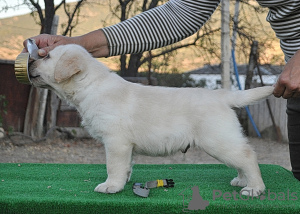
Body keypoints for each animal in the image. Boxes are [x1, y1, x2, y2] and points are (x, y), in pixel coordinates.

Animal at [28, 44, 274, 196]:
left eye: (46, 56)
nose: (29, 62)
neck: (90, 85)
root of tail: (223, 95)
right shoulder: (126, 146)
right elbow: (126, 165)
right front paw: (124, 181)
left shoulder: (116, 141)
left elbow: (113, 166)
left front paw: (111, 186)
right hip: (225, 139)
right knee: (242, 157)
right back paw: (242, 180)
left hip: (217, 140)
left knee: (248, 156)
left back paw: (254, 188)